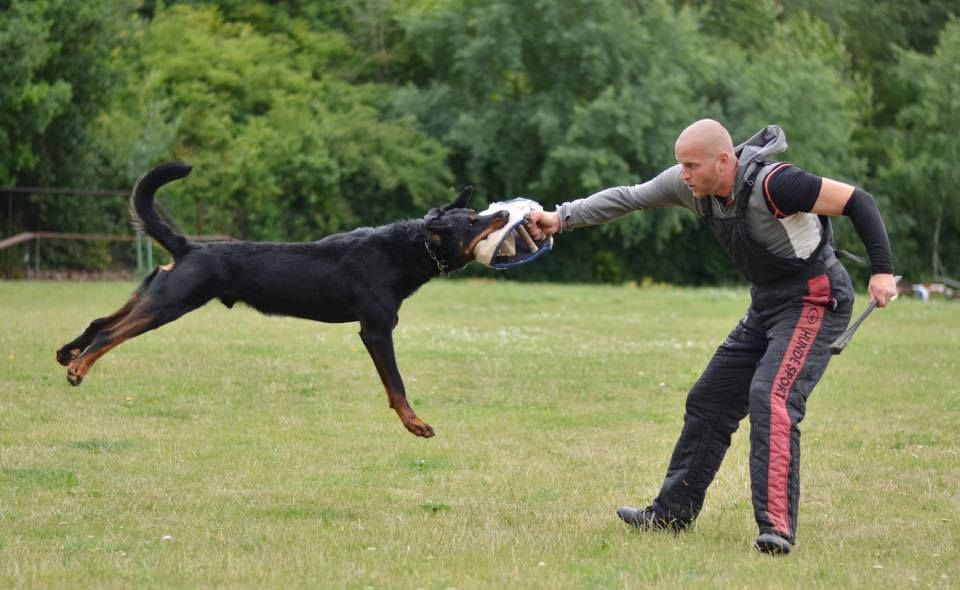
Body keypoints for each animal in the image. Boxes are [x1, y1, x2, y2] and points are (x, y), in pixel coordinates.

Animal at [56, 162, 508, 437]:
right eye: (473, 221)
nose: (503, 213)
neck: (405, 251)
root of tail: (188, 247)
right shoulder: (376, 331)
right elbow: (396, 384)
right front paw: (415, 423)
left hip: (157, 291)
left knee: (101, 322)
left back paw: (68, 353)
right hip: (172, 301)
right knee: (110, 333)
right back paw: (79, 366)